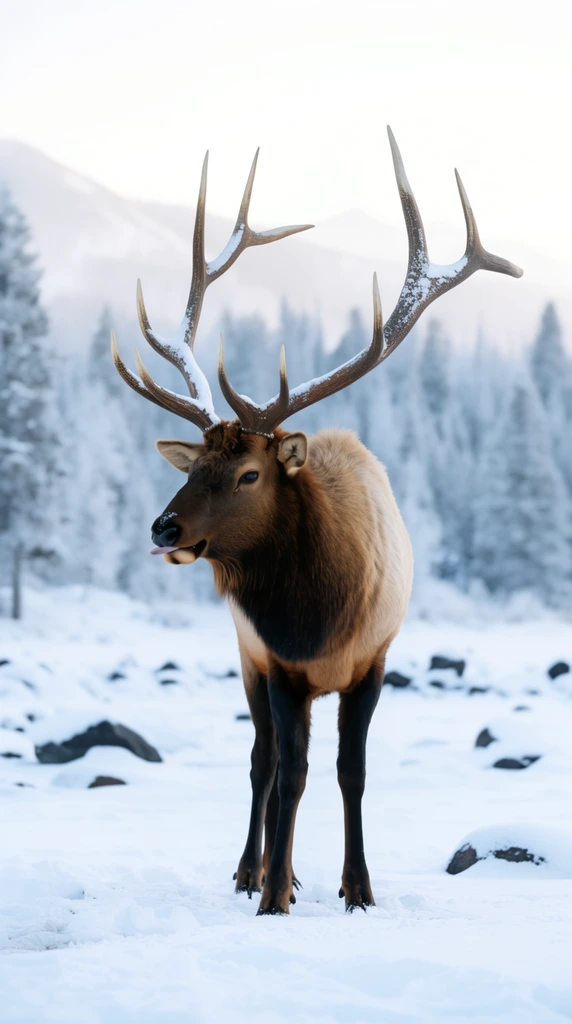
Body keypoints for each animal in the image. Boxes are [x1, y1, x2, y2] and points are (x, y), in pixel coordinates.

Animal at [111, 129, 522, 915]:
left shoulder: (374, 663)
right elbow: (289, 773)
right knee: (263, 761)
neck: (321, 615)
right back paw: (254, 869)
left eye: (249, 474)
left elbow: (350, 772)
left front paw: (358, 887)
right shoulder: (279, 665)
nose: (162, 528)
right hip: (247, 660)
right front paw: (274, 891)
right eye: (192, 468)